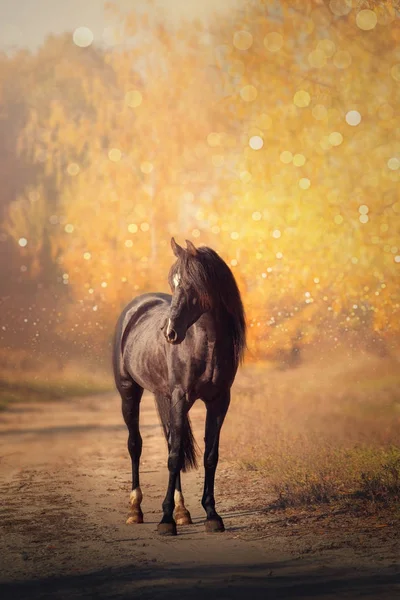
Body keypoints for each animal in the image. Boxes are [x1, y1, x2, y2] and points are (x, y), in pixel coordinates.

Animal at [111, 237, 244, 536]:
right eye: (173, 284)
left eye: (192, 284)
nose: (169, 333)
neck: (204, 345)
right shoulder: (180, 397)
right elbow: (172, 457)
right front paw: (165, 520)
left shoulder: (219, 401)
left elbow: (208, 455)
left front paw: (211, 515)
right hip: (129, 393)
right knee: (135, 444)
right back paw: (135, 510)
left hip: (164, 396)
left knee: (174, 441)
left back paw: (183, 511)